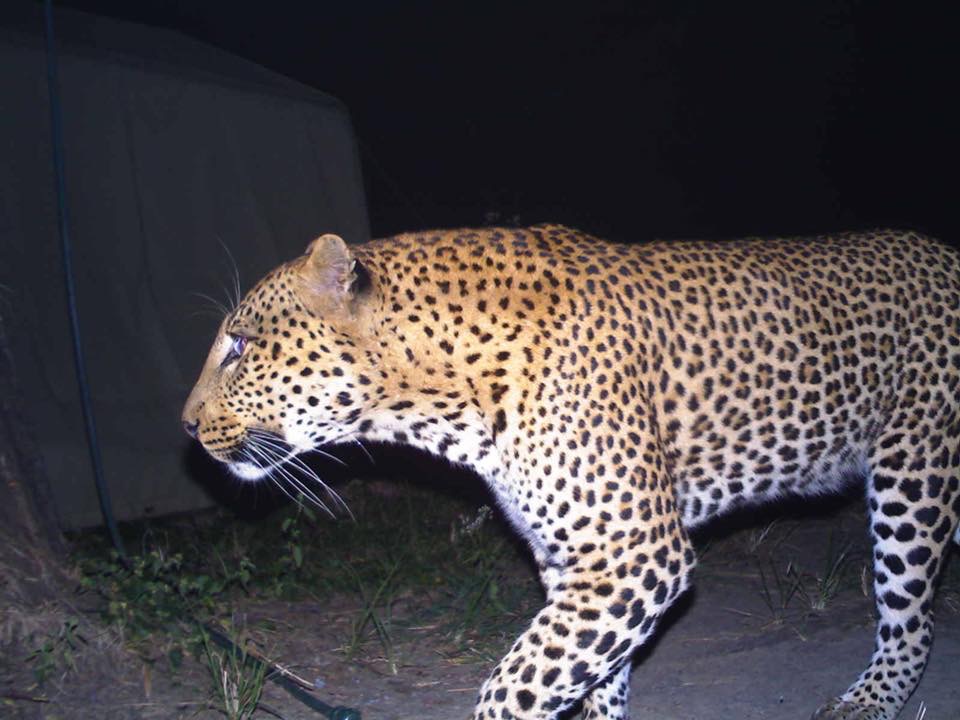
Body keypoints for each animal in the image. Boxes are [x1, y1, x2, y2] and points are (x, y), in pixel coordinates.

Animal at [183, 224, 960, 720]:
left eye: (240, 346)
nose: (186, 426)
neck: (443, 400)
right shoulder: (575, 562)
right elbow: (592, 680)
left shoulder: (636, 553)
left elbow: (515, 687)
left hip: (912, 475)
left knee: (911, 619)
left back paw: (867, 702)